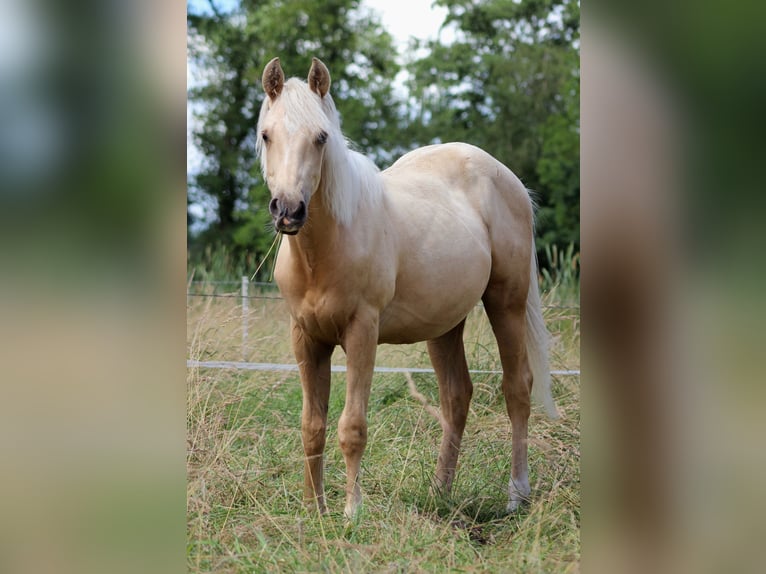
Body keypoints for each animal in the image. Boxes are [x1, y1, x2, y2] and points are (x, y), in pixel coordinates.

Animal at [256, 56, 560, 520]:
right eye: (266, 134)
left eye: (321, 137)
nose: (288, 211)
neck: (324, 250)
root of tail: (509, 181)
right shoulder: (305, 338)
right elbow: (312, 425)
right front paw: (313, 510)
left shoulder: (362, 332)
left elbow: (352, 426)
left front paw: (352, 513)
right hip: (445, 325)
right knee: (456, 397)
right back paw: (440, 492)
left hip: (506, 302)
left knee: (517, 389)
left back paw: (516, 495)